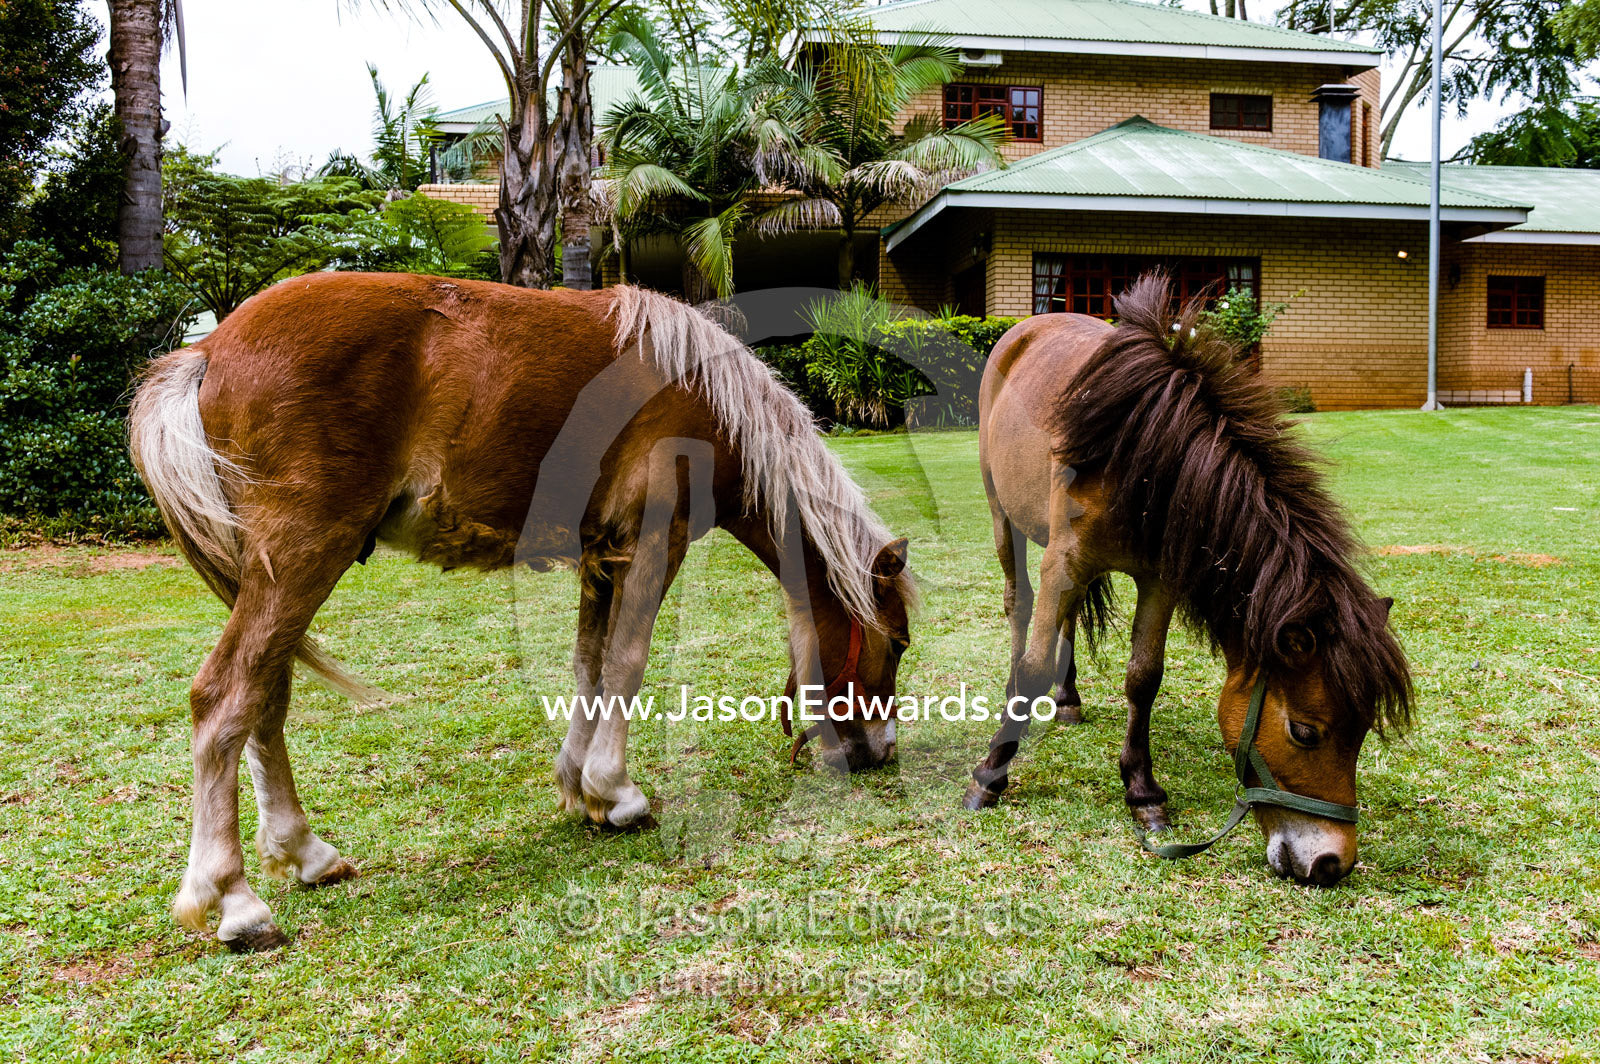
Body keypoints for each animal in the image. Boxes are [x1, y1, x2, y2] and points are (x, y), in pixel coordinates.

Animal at [129, 272, 916, 951]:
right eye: (900, 645)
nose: (880, 754)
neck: (702, 395)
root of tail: (208, 348)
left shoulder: (603, 556)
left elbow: (590, 665)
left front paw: (581, 787)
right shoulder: (655, 541)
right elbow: (626, 662)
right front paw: (617, 792)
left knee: (266, 697)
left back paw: (305, 854)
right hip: (300, 560)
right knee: (225, 698)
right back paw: (234, 901)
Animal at [961, 275, 1411, 886]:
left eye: (1363, 732)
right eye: (1305, 732)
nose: (1331, 864)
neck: (1150, 459)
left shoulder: (1159, 579)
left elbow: (1143, 677)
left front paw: (1142, 792)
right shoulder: (1064, 560)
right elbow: (1033, 666)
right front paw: (992, 773)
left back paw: (1070, 697)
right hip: (1002, 517)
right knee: (1020, 604)